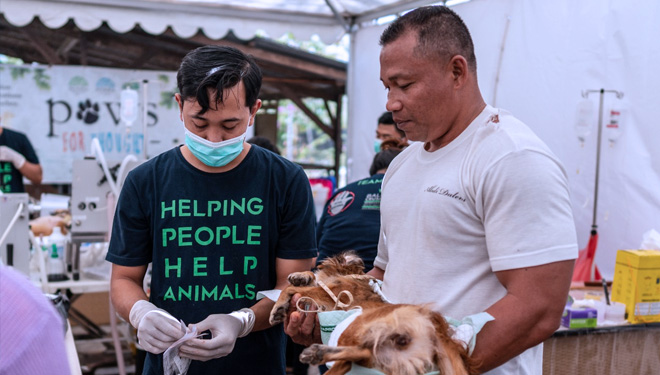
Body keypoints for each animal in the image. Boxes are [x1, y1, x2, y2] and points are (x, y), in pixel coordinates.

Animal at [270, 253, 480, 375]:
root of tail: (438, 329)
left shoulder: (332, 294)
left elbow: (291, 289)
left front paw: (280, 305)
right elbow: (310, 280)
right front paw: (301, 276)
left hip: (355, 326)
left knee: (357, 355)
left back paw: (319, 352)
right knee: (364, 356)